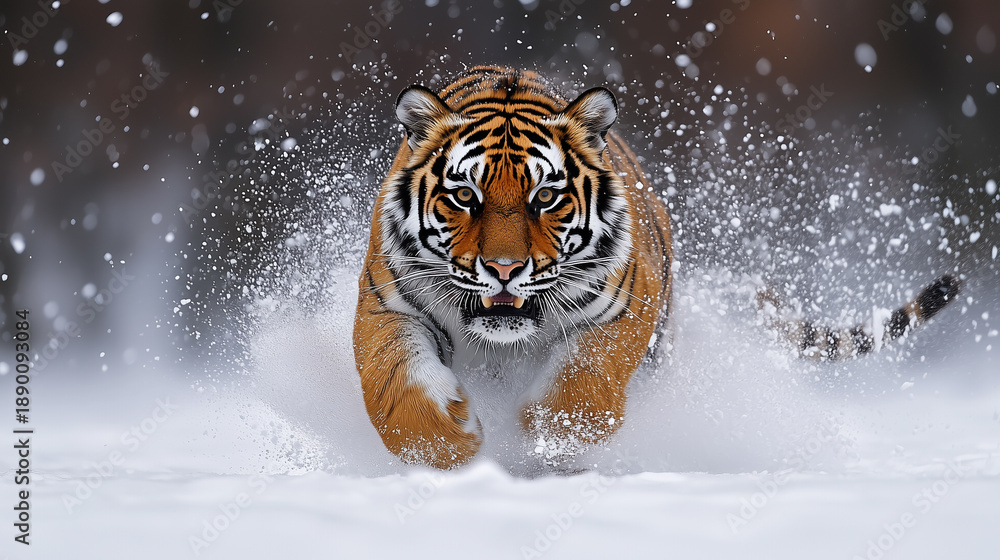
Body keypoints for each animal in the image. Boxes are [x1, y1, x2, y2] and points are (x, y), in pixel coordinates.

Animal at [353, 65, 959, 470]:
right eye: (465, 195)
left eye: (545, 197)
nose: (504, 268)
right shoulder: (391, 305)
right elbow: (397, 386)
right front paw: (451, 444)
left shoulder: (620, 311)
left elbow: (585, 383)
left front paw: (545, 434)